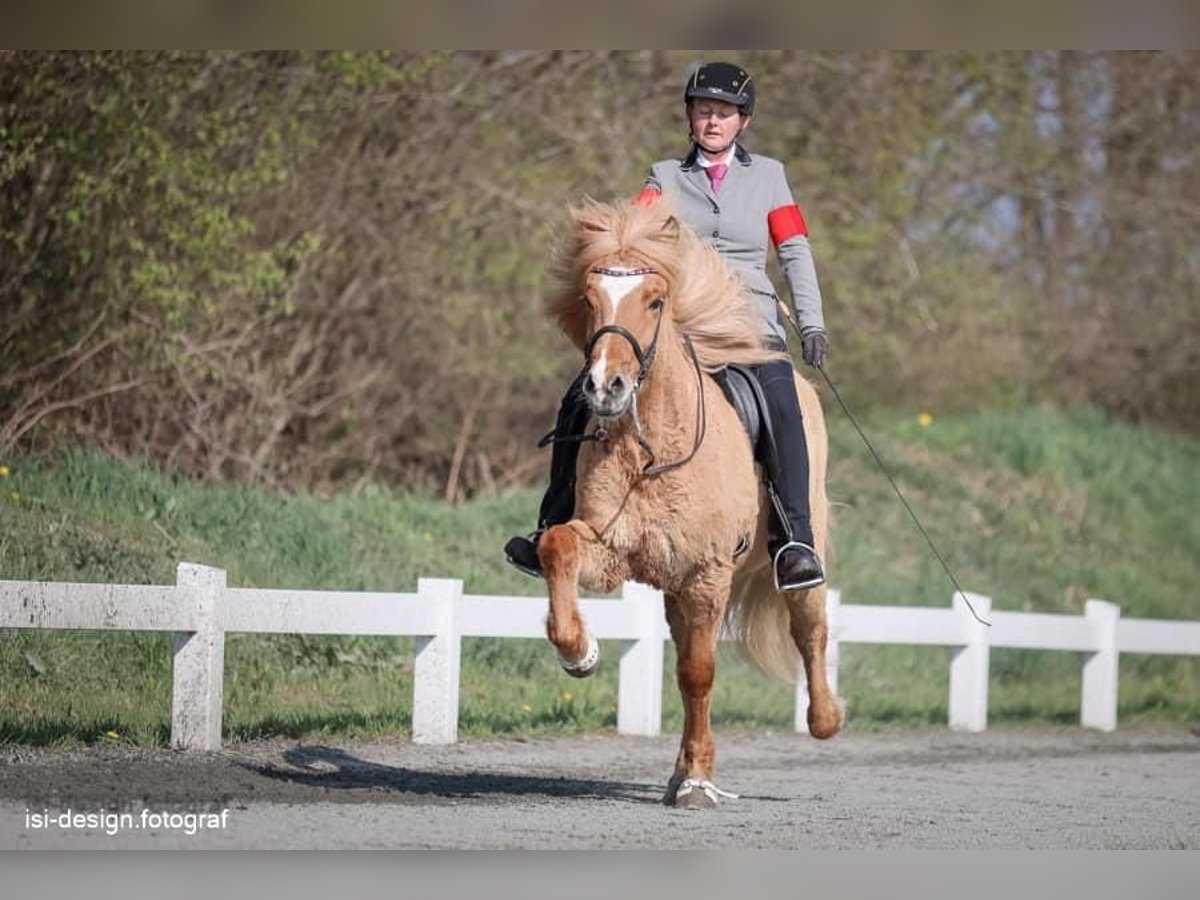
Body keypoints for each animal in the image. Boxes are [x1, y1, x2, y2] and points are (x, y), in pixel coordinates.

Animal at [535, 199, 843, 809]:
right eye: (589, 299)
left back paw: (825, 719)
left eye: (655, 300)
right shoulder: (611, 547)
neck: (650, 447)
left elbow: (701, 673)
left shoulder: (708, 572)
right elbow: (557, 547)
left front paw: (700, 781)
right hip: (672, 587)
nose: (605, 387)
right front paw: (579, 652)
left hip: (797, 548)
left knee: (808, 626)